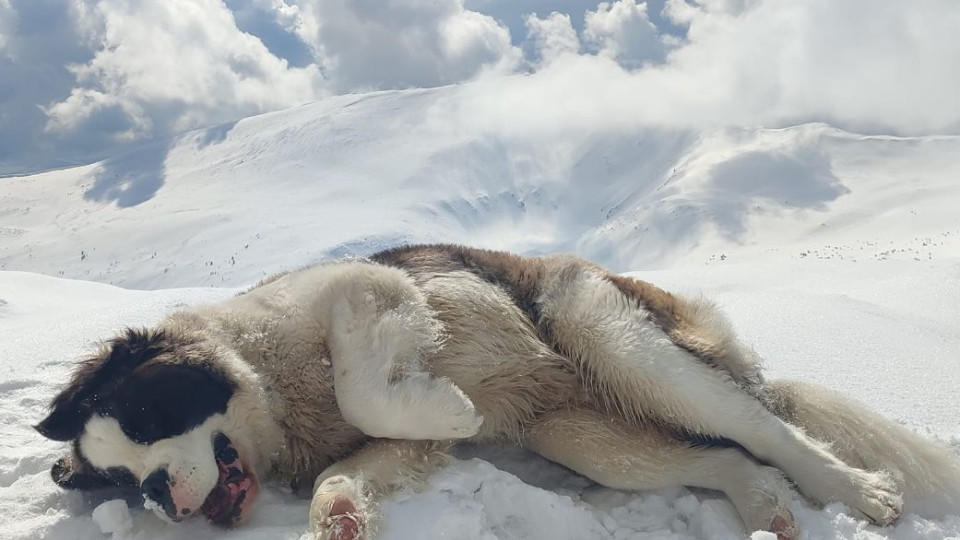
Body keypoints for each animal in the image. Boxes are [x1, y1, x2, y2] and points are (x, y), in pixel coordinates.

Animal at [31, 246, 960, 540]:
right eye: (119, 483)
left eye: (151, 415)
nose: (158, 497)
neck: (274, 383)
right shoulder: (396, 452)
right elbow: (352, 467)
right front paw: (340, 515)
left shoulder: (369, 292)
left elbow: (366, 386)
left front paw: (450, 399)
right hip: (584, 436)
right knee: (727, 455)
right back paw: (765, 508)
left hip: (618, 340)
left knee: (764, 429)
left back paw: (862, 492)